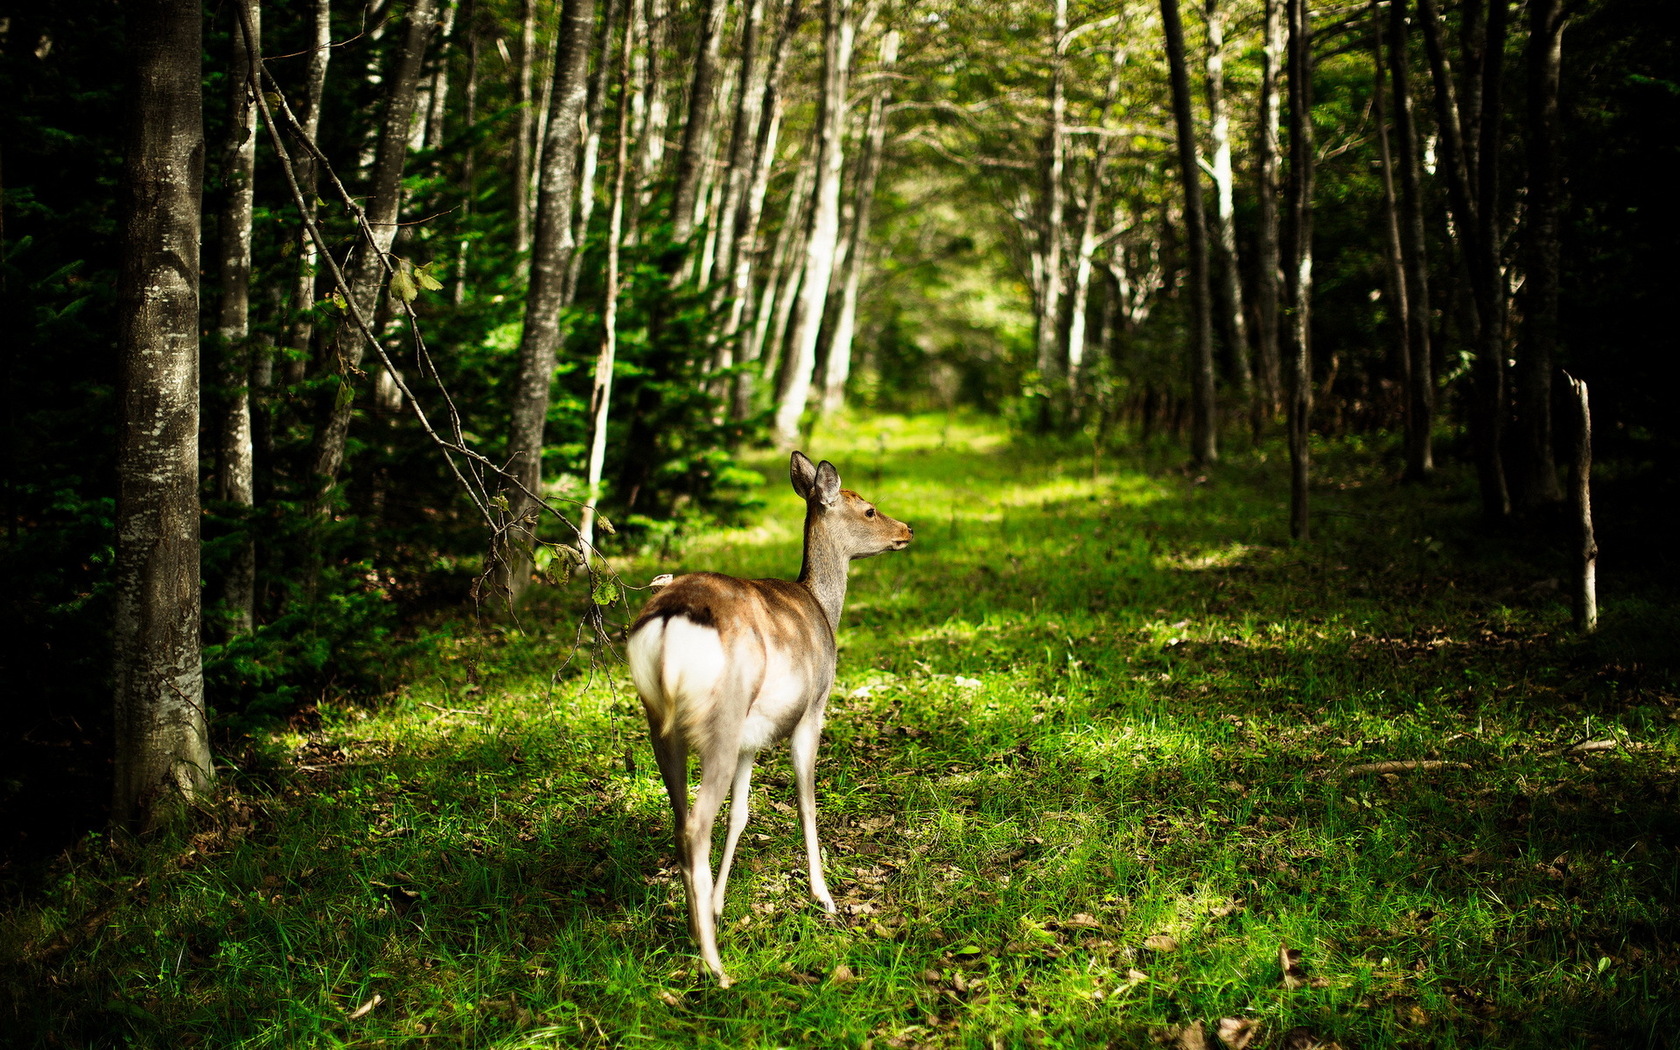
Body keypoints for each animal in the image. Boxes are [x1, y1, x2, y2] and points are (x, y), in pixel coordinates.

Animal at [631, 446, 920, 981]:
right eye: (869, 509)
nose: (907, 529)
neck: (823, 608)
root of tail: (668, 619)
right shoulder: (812, 709)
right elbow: (807, 801)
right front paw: (825, 898)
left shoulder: (753, 737)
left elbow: (741, 813)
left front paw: (720, 904)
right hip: (721, 718)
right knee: (695, 824)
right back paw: (716, 967)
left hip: (660, 721)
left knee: (681, 820)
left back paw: (698, 928)